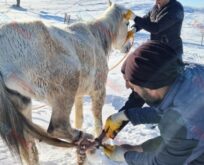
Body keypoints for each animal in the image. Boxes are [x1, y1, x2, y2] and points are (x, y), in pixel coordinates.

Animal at [0, 1, 135, 165]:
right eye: (127, 23)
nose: (128, 47)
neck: (97, 36)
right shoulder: (98, 90)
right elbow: (98, 120)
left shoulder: (79, 95)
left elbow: (79, 118)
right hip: (66, 85)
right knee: (56, 127)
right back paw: (85, 140)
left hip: (22, 101)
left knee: (28, 143)